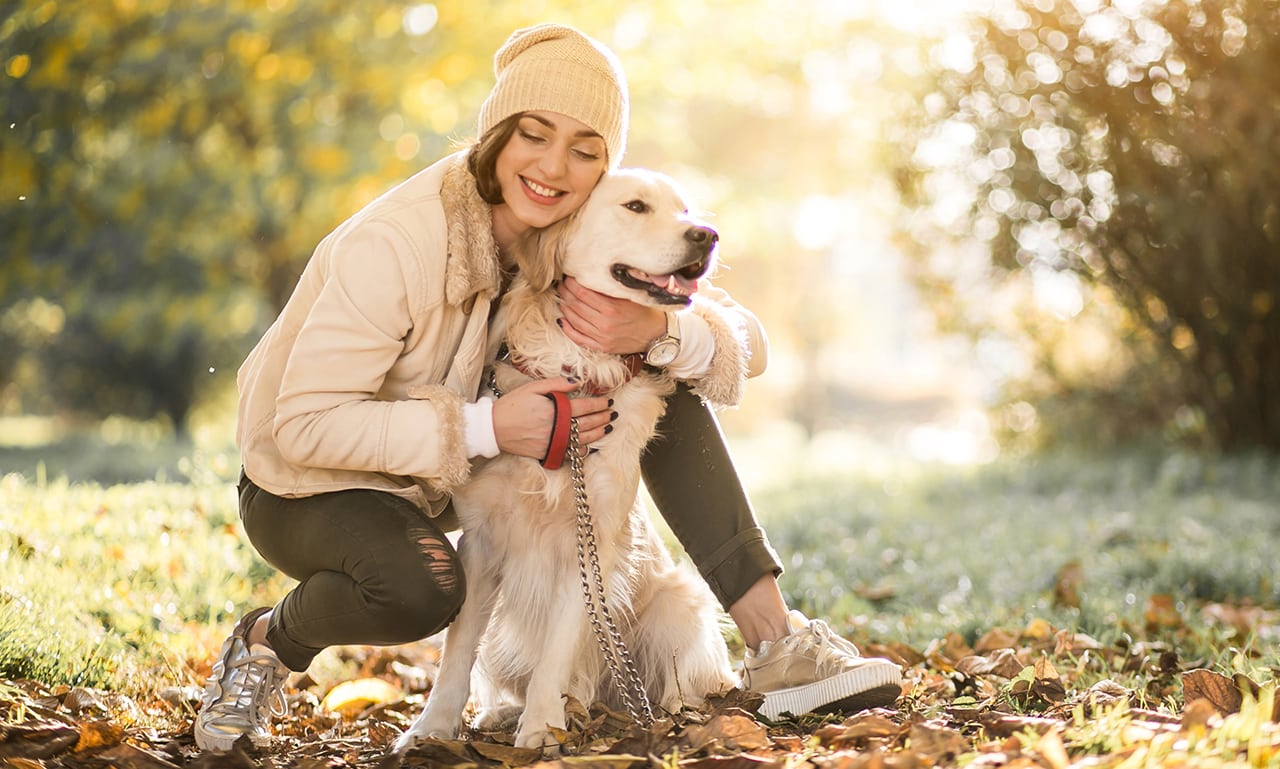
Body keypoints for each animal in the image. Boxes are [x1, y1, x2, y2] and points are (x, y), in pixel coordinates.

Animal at [396, 167, 742, 747]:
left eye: (685, 210)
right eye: (635, 206)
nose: (707, 236)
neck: (575, 374)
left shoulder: (590, 542)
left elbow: (557, 650)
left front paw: (540, 728)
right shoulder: (480, 544)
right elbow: (458, 652)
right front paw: (433, 728)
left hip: (677, 603)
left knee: (682, 677)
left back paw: (666, 711)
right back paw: (506, 713)